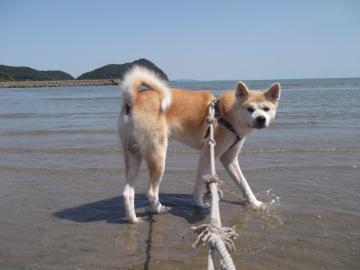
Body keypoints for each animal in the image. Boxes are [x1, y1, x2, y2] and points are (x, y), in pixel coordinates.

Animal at [118, 66, 282, 223]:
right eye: (250, 109)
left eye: (266, 109)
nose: (261, 119)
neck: (227, 114)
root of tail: (134, 99)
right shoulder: (208, 153)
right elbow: (200, 184)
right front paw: (199, 204)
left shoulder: (229, 159)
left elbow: (244, 184)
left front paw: (256, 203)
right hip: (157, 155)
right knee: (151, 192)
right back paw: (159, 209)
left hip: (134, 154)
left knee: (127, 192)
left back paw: (133, 219)